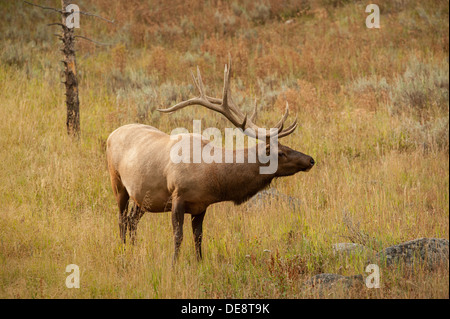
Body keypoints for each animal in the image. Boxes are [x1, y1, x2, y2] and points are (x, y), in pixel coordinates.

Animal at [107, 57, 314, 262]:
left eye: (287, 147)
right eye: (280, 153)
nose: (311, 160)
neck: (211, 175)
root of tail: (111, 134)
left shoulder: (201, 205)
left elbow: (198, 237)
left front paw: (200, 263)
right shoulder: (177, 195)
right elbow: (178, 236)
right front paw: (174, 264)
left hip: (142, 197)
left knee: (132, 220)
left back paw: (133, 249)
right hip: (117, 183)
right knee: (122, 220)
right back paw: (123, 251)